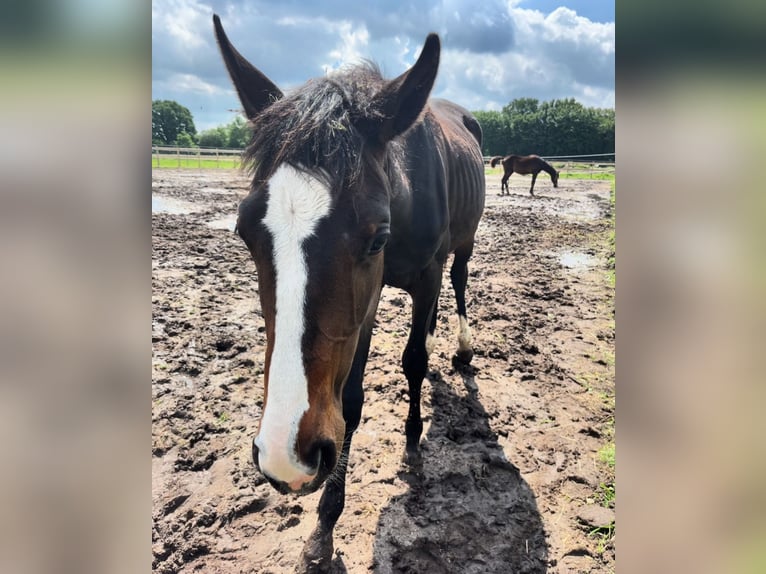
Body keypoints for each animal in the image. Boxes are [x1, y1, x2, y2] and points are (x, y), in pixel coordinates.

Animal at [213, 14, 486, 574]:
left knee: (459, 285)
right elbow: (352, 398)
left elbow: (412, 361)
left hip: (462, 249)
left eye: (377, 236)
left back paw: (462, 350)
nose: (286, 456)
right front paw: (324, 525)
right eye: (244, 232)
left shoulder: (424, 275)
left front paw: (413, 444)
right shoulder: (369, 298)